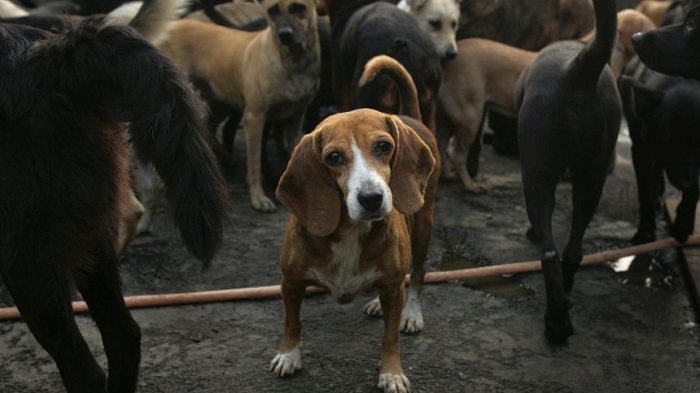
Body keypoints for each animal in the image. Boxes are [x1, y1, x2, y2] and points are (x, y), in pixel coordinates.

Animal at [159, 0, 320, 211]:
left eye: (299, 7)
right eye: (273, 10)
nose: (284, 34)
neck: (292, 63)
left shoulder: (295, 118)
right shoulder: (255, 117)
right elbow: (255, 164)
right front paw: (258, 198)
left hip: (219, 101)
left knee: (210, 128)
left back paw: (226, 158)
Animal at [272, 54, 440, 392]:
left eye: (384, 146)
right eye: (333, 157)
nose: (372, 198)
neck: (349, 230)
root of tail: (408, 115)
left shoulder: (394, 290)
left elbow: (390, 337)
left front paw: (391, 373)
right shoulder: (290, 282)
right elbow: (291, 321)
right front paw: (289, 354)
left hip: (423, 229)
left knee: (417, 275)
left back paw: (411, 312)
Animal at [438, 8, 656, 193]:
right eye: (650, 28)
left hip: (449, 117)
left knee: (441, 148)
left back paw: (448, 176)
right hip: (470, 117)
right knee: (456, 154)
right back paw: (470, 185)